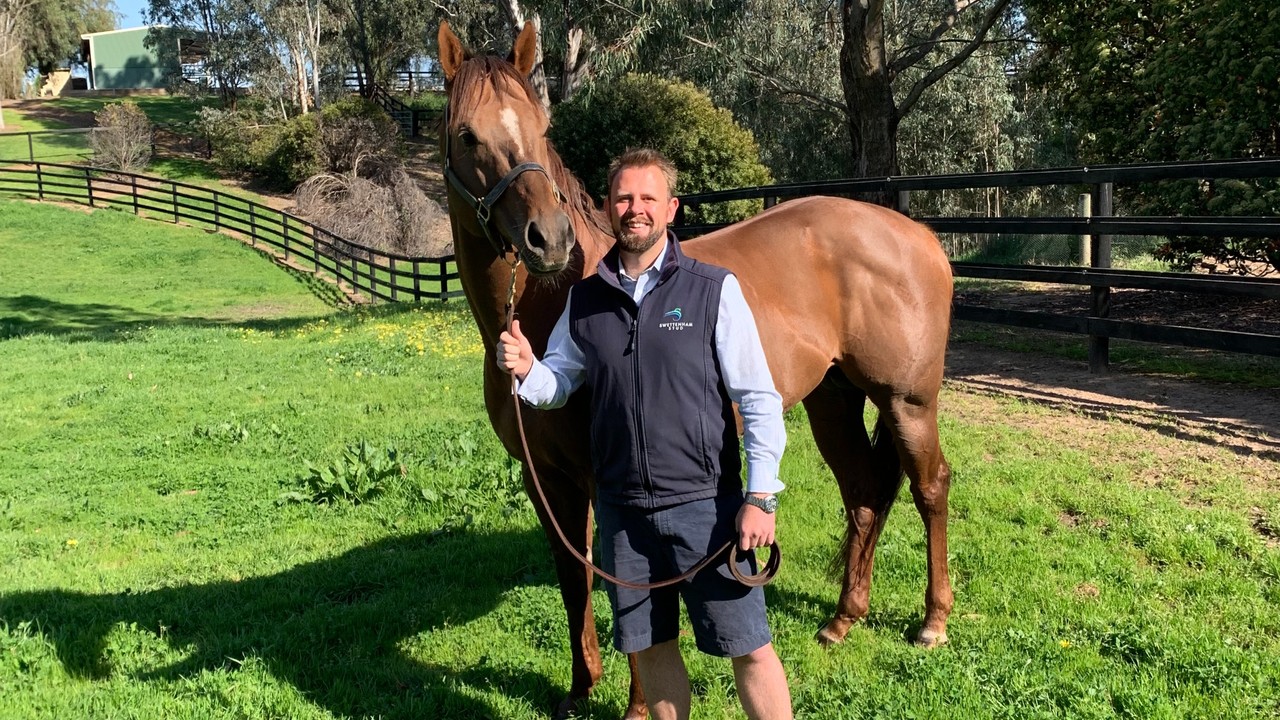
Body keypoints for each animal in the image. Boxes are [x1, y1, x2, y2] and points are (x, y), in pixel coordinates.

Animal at [437, 22, 952, 717]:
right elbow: (575, 581)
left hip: (906, 402)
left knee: (930, 489)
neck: (554, 304)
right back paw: (843, 620)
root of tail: (918, 235)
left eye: (543, 126)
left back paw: (932, 622)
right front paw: (579, 690)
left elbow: (627, 593)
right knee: (865, 493)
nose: (549, 240)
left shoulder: (605, 481)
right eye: (467, 134)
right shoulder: (546, 480)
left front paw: (633, 704)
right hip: (832, 401)